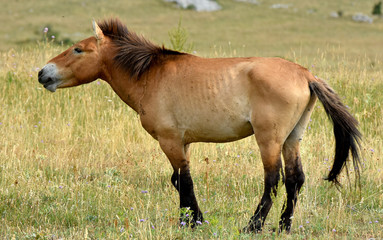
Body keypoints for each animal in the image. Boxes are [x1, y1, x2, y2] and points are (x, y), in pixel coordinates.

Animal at [38, 18, 364, 232]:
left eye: (78, 50)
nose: (43, 73)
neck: (150, 75)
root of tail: (306, 75)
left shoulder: (170, 140)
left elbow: (184, 181)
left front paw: (192, 222)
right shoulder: (182, 143)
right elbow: (178, 180)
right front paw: (191, 218)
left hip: (269, 140)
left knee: (273, 181)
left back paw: (253, 226)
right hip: (292, 138)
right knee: (295, 179)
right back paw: (283, 226)